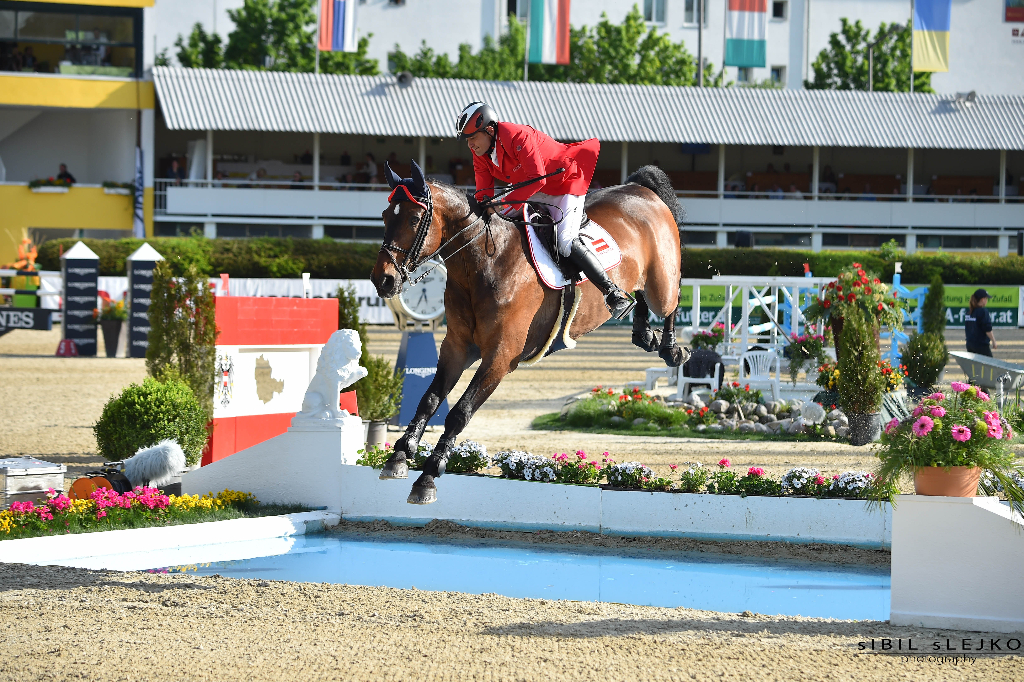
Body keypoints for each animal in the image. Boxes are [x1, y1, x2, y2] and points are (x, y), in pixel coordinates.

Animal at [370, 157, 688, 499]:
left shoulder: (500, 357)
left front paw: (428, 475)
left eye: (415, 219)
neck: (484, 264)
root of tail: (641, 189)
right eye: (386, 216)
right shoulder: (457, 347)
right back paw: (643, 331)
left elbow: (459, 413)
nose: (382, 280)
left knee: (670, 301)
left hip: (662, 282)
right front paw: (399, 456)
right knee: (641, 296)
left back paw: (671, 349)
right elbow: (429, 399)